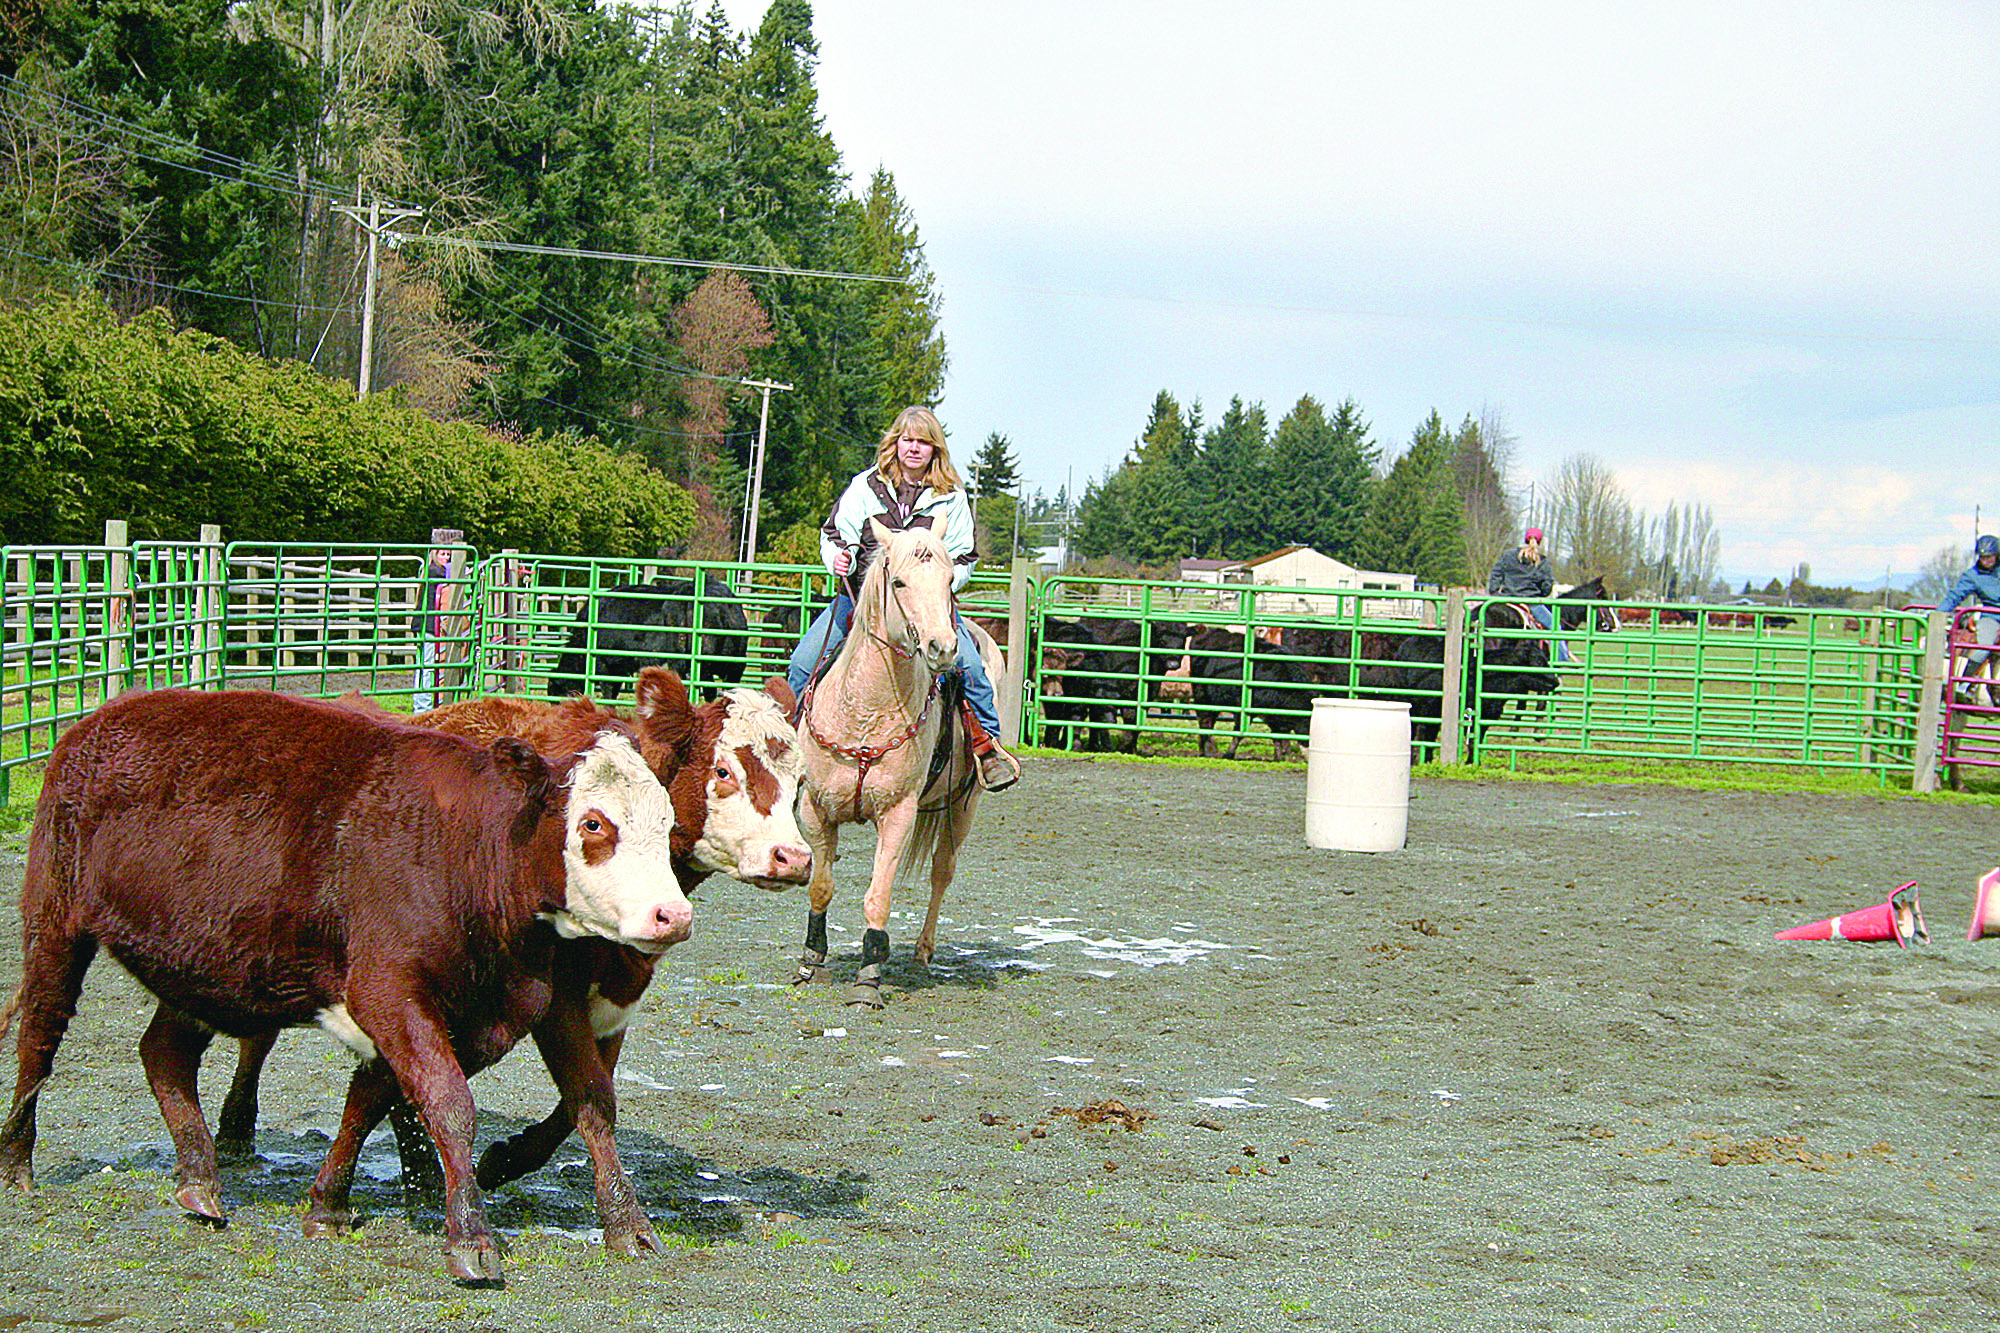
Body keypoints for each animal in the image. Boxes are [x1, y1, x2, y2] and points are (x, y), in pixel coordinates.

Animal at [0, 684, 688, 1280]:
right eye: (594, 823)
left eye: (667, 821)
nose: (672, 916)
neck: (464, 848)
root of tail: (98, 721)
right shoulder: (388, 990)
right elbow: (448, 1106)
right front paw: (471, 1240)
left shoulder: (507, 1004)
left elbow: (577, 1100)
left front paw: (628, 1226)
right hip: (56, 923)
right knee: (39, 1033)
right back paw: (16, 1165)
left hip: (201, 967)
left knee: (164, 1053)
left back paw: (199, 1181)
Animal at [788, 520, 992, 1008]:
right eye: (899, 582)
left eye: (948, 581)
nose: (943, 648)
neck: (865, 709)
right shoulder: (815, 809)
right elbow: (821, 886)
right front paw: (811, 960)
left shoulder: (899, 813)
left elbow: (878, 896)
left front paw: (868, 976)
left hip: (965, 803)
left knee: (942, 871)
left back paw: (923, 950)